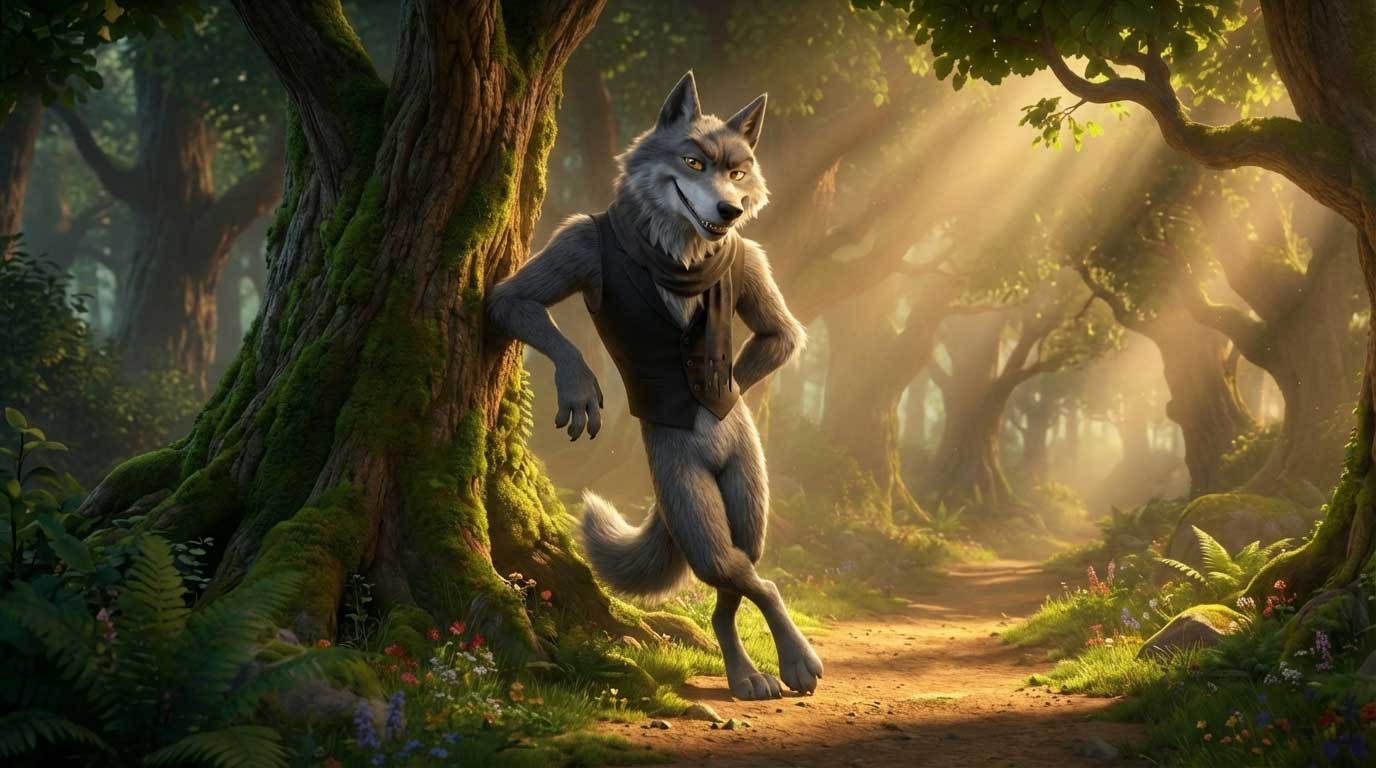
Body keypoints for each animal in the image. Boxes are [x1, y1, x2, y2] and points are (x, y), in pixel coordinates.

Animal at [488, 72, 822, 699]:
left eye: (737, 172)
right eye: (693, 162)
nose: (730, 209)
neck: (679, 257)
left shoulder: (748, 259)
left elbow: (780, 336)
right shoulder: (573, 245)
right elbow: (514, 301)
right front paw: (579, 385)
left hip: (749, 494)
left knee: (741, 579)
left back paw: (775, 667)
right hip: (691, 499)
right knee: (731, 573)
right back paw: (757, 672)